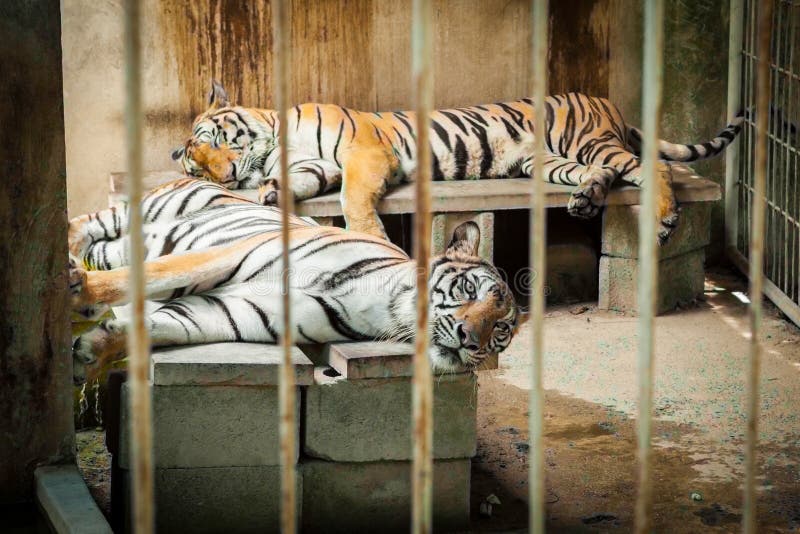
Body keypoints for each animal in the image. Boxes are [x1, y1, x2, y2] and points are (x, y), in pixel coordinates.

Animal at [68, 178, 521, 384]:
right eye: (469, 290)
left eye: (500, 330)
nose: (470, 340)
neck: (385, 306)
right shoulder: (227, 255)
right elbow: (156, 275)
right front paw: (84, 293)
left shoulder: (235, 312)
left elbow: (160, 325)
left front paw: (92, 351)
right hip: (146, 212)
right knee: (87, 222)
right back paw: (70, 265)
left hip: (122, 244)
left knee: (101, 247)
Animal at [172, 80, 743, 244]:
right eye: (196, 169)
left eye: (213, 139)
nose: (225, 176)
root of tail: (608, 102)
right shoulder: (321, 166)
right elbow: (297, 181)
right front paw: (272, 192)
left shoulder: (363, 153)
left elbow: (354, 200)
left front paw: (370, 235)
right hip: (548, 162)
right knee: (601, 173)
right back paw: (585, 201)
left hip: (586, 141)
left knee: (651, 168)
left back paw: (665, 217)